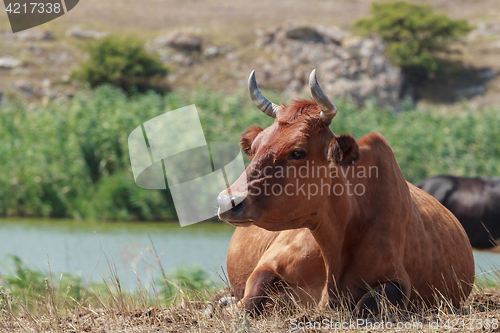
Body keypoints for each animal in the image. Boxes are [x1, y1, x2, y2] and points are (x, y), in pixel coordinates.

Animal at [217, 69, 474, 314]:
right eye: (255, 148)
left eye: (297, 152)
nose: (227, 201)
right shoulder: (268, 263)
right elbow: (250, 299)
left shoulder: (398, 280)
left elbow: (366, 306)